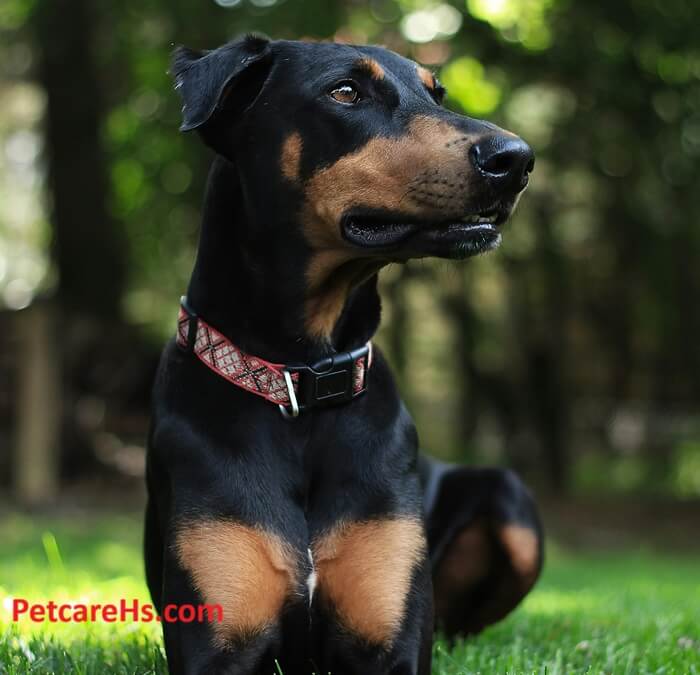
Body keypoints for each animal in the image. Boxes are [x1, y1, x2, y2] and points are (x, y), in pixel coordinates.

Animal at [145, 33, 544, 675]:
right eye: (346, 92)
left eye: (438, 94)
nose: (517, 158)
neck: (300, 378)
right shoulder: (217, 644)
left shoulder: (390, 643)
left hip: (511, 502)